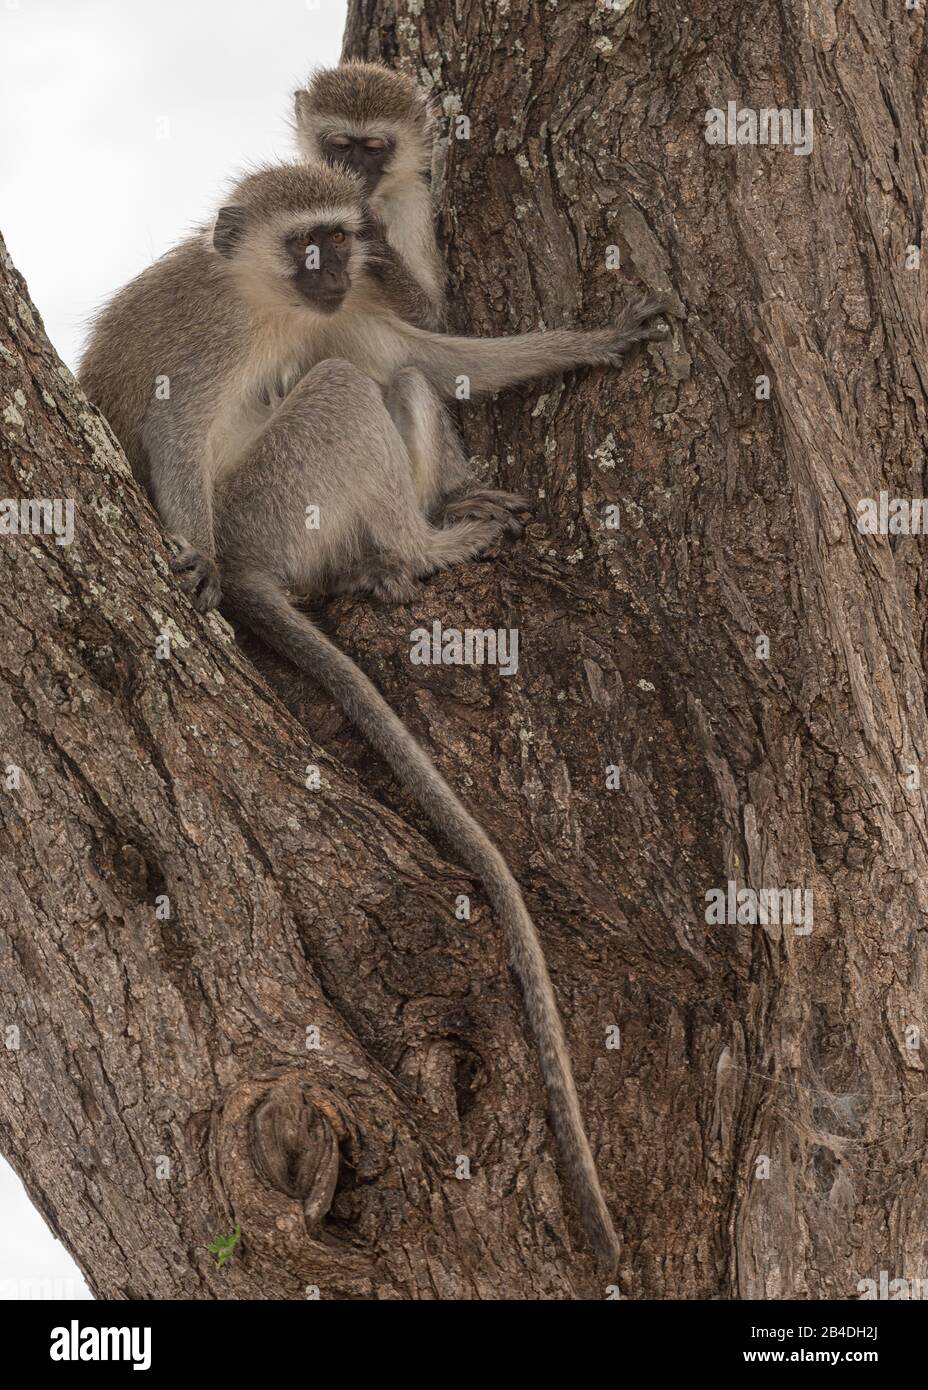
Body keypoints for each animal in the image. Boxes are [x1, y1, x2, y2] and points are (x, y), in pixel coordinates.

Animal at [81, 162, 666, 1273]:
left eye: (340, 239)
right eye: (304, 242)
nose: (333, 270)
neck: (271, 304)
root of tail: (261, 567)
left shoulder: (345, 309)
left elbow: (432, 359)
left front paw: (589, 340)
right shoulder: (212, 335)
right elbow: (176, 433)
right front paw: (185, 551)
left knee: (387, 382)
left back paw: (406, 548)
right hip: (269, 509)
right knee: (345, 394)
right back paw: (415, 552)